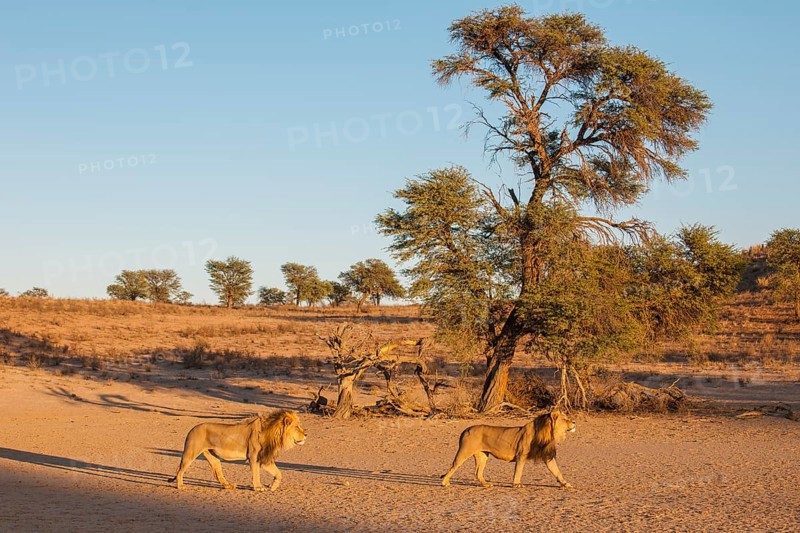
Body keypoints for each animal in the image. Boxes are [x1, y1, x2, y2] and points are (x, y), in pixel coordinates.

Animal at [168, 410, 306, 492]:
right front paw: (258, 487)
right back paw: (180, 486)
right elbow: (256, 473)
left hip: (212, 457)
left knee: (217, 473)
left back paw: (228, 486)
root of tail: (191, 429)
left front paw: (272, 486)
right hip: (191, 453)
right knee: (179, 470)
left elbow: (278, 473)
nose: (306, 435)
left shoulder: (264, 459)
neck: (273, 432)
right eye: (297, 427)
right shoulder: (254, 457)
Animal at [441, 411, 576, 489]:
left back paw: (486, 484)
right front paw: (516, 484)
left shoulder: (547, 457)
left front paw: (565, 483)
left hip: (483, 455)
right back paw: (445, 482)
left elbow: (557, 471)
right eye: (565, 419)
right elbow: (518, 471)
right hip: (464, 452)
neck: (548, 432)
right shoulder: (521, 455)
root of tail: (466, 429)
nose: (574, 422)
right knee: (453, 466)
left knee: (477, 472)